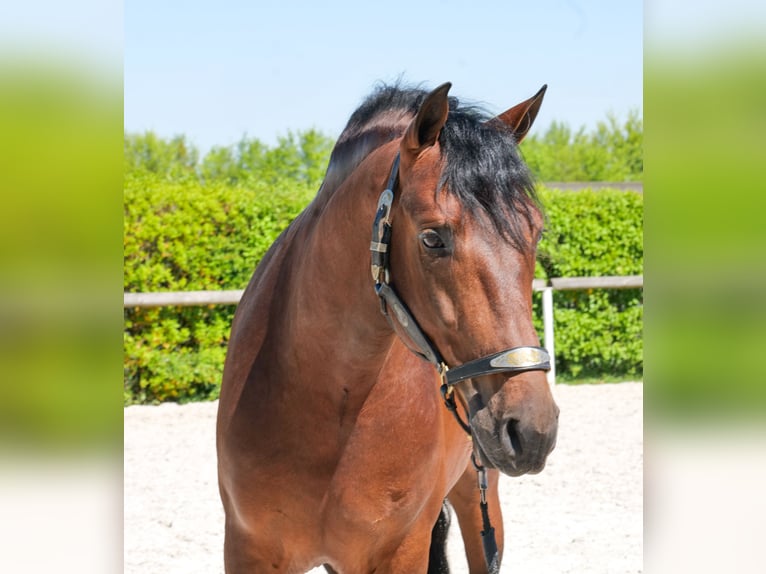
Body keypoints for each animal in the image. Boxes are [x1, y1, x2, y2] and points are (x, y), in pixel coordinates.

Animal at [216, 82, 559, 574]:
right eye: (432, 238)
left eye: (535, 232)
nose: (532, 430)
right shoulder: (248, 551)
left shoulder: (401, 551)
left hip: (480, 497)